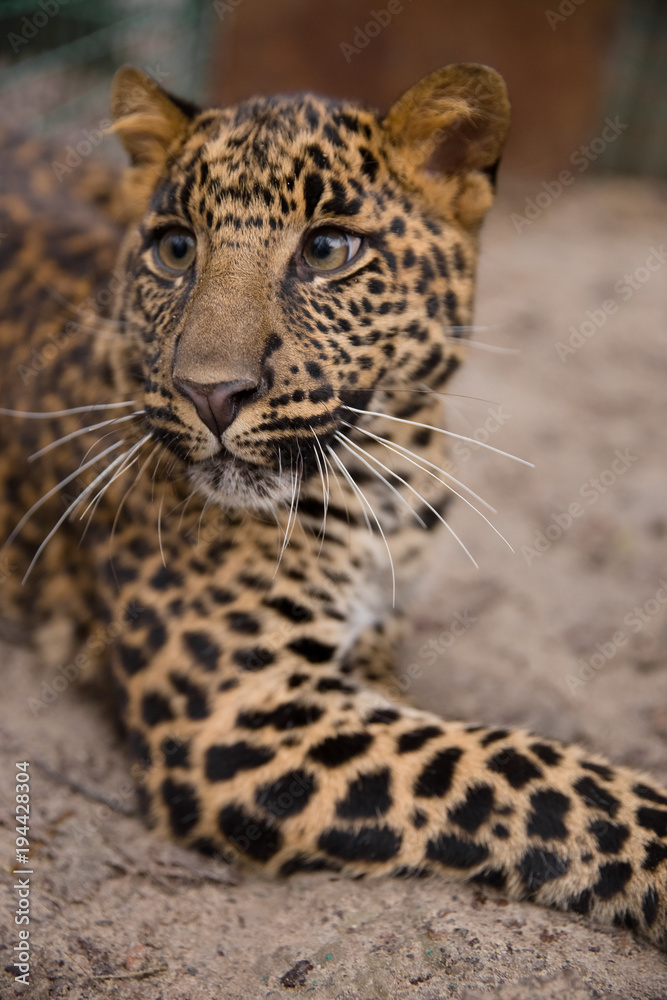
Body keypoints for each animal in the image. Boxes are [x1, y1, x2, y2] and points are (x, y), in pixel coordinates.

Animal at [2, 63, 667, 950]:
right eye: (175, 248)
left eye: (326, 250)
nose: (210, 394)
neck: (377, 481)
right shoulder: (239, 722)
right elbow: (519, 770)